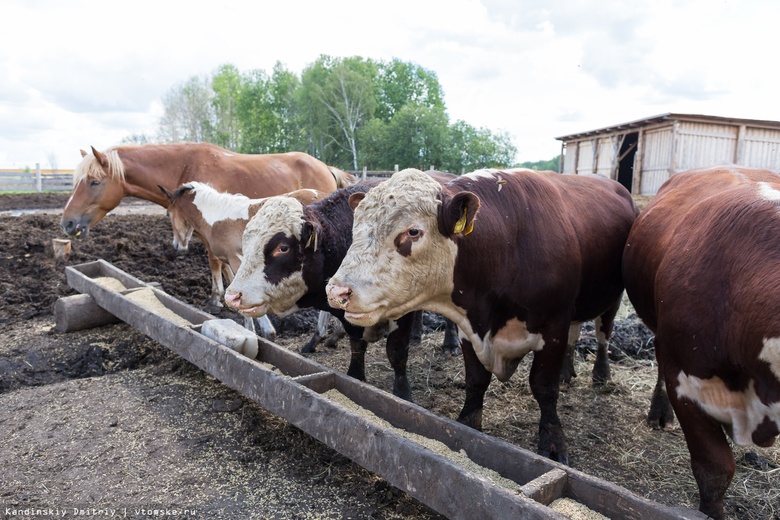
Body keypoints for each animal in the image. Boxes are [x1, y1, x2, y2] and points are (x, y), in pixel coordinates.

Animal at [61, 142, 354, 320]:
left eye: (94, 181)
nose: (67, 223)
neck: (184, 166)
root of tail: (327, 167)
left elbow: (214, 262)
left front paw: (216, 299)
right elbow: (222, 263)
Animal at [222, 176, 460, 402]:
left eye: (282, 248)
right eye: (246, 244)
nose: (233, 296)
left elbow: (397, 352)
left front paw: (402, 393)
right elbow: (357, 344)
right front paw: (356, 376)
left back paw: (451, 343)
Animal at [326, 168, 636, 464]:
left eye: (413, 231)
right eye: (355, 227)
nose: (337, 290)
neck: (508, 247)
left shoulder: (553, 326)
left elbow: (544, 387)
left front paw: (553, 443)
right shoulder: (469, 327)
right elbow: (476, 381)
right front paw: (468, 424)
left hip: (611, 299)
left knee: (603, 334)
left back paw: (600, 374)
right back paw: (567, 371)